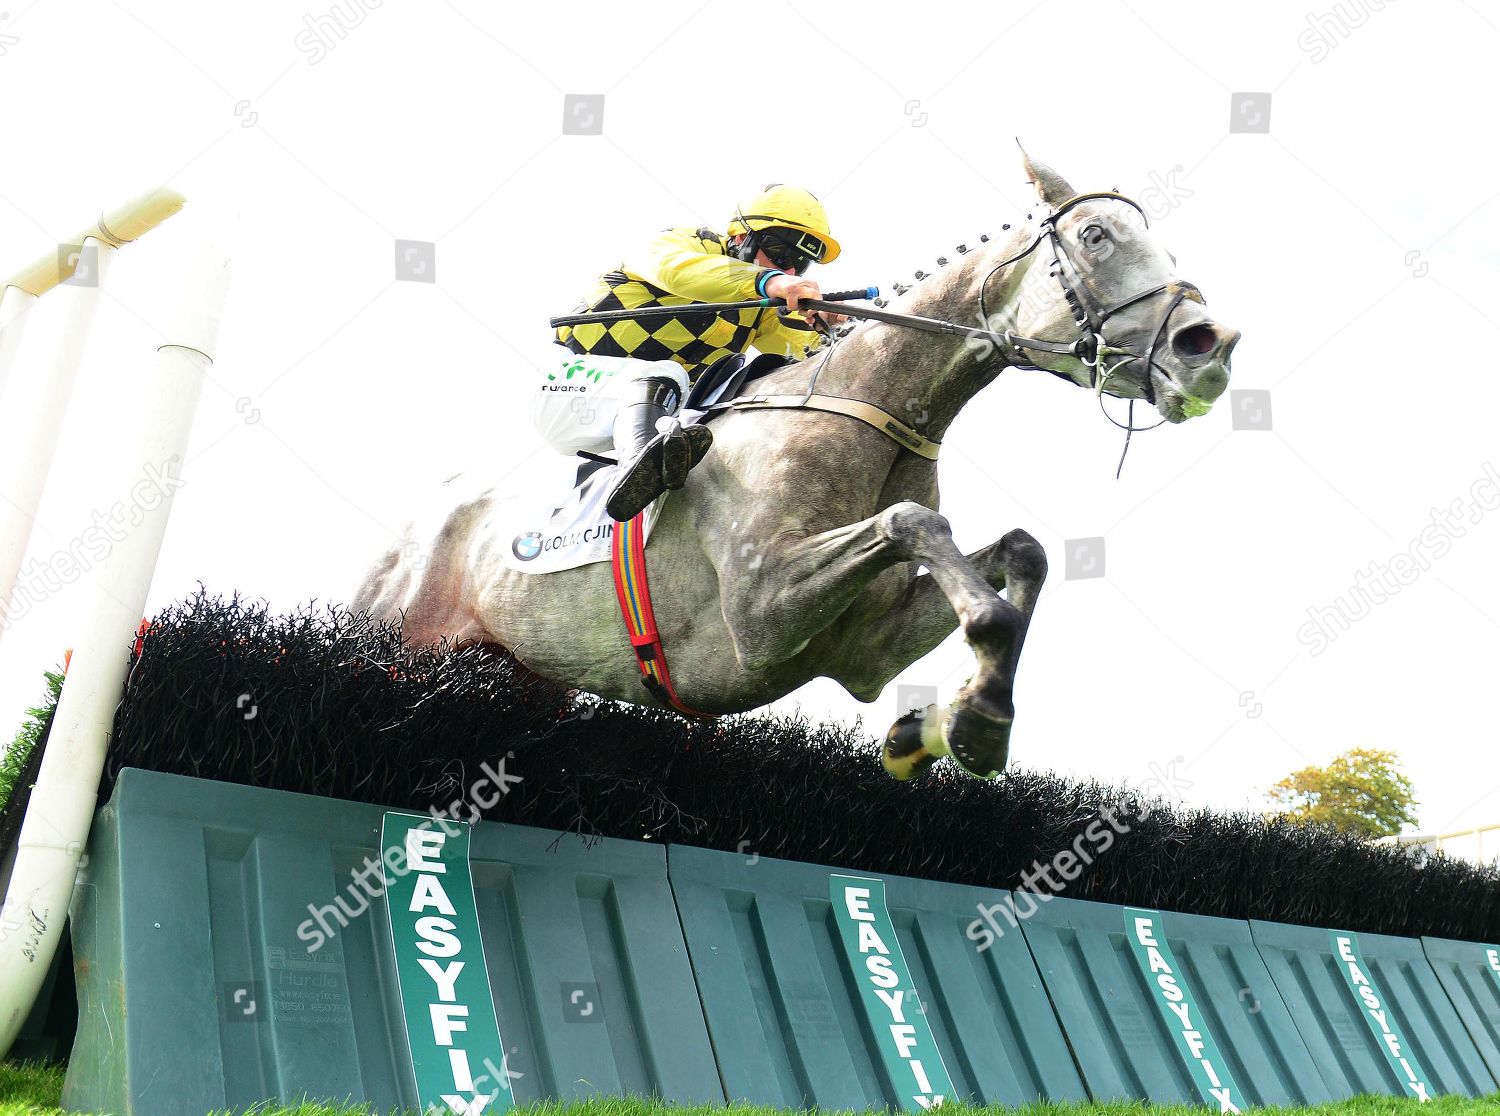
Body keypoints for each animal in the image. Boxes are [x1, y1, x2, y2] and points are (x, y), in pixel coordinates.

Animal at [354, 152, 1242, 780]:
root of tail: (402, 539)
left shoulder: (862, 652)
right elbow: (914, 520)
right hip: (397, 639)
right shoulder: (761, 611)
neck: (868, 409)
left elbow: (1019, 554)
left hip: (520, 672)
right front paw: (978, 715)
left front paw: (944, 725)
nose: (1210, 348)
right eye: (1096, 236)